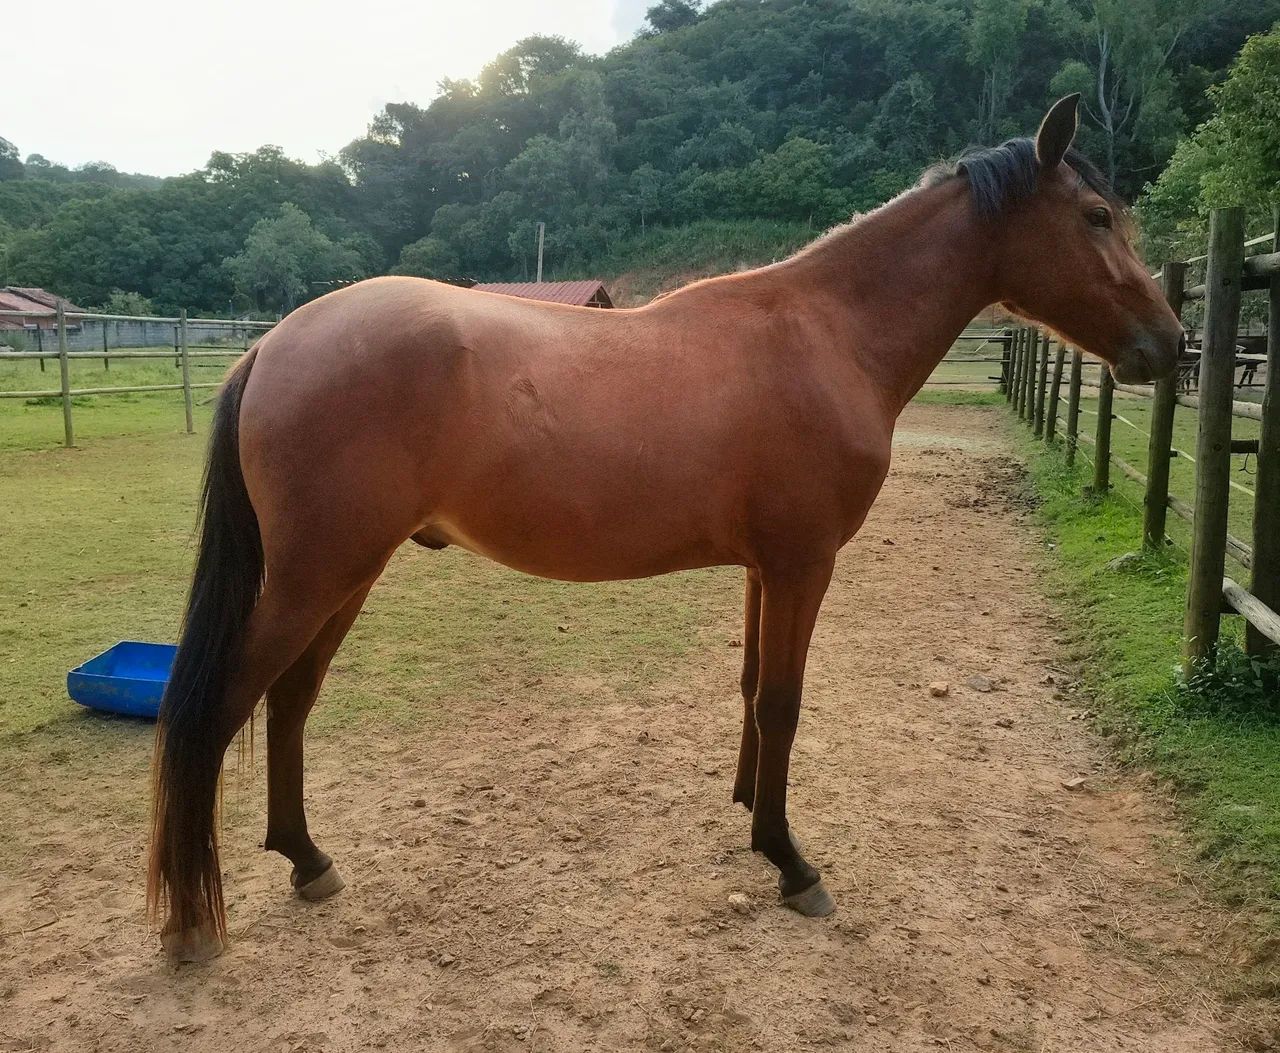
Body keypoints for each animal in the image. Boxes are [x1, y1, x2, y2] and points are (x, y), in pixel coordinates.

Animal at [149, 95, 1184, 961]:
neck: (824, 334)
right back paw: (192, 922)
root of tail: (272, 344)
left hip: (345, 573)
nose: (1171, 344)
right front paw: (791, 862)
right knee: (215, 709)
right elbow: (784, 702)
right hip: (317, 574)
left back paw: (307, 859)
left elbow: (751, 690)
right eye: (1096, 217)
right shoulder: (805, 565)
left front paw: (751, 811)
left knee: (289, 701)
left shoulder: (766, 569)